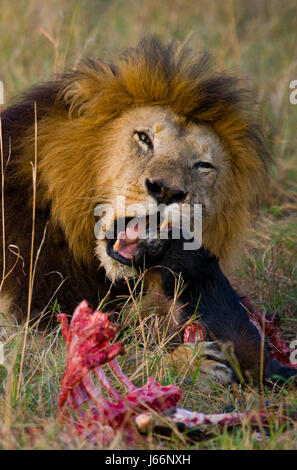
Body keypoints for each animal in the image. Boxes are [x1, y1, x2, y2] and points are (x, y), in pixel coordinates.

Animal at [0, 38, 270, 384]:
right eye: (144, 138)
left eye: (203, 165)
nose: (166, 190)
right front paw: (193, 362)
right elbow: (97, 358)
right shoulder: (19, 332)